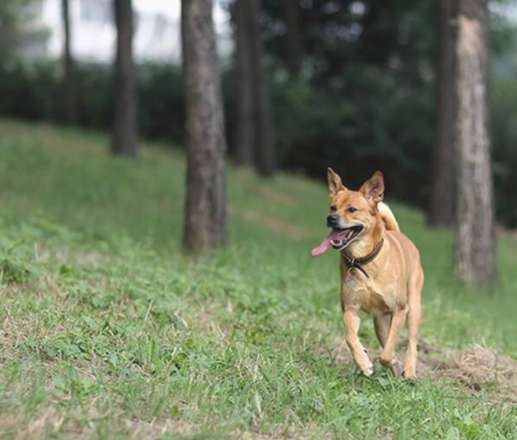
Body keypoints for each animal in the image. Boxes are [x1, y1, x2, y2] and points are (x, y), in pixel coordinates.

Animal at [310, 168, 424, 378]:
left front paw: (387, 361)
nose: (330, 219)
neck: (363, 261)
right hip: (380, 322)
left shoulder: (400, 310)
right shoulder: (350, 308)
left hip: (413, 308)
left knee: (411, 343)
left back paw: (410, 371)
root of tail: (400, 234)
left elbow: (386, 353)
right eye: (332, 207)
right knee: (386, 340)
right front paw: (363, 362)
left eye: (352, 210)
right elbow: (350, 337)